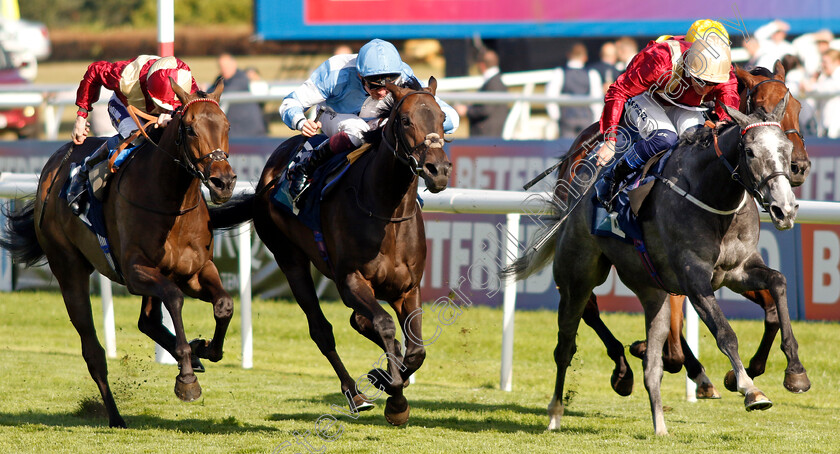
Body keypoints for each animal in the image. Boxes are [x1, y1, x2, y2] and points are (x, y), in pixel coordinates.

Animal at [0, 80, 236, 428]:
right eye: (191, 129)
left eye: (227, 125)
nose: (224, 182)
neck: (172, 203)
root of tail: (54, 163)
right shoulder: (136, 271)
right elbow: (174, 298)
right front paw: (187, 379)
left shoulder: (196, 270)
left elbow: (224, 305)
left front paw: (205, 348)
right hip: (68, 270)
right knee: (94, 351)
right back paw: (115, 415)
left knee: (148, 320)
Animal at [210, 77, 452, 426]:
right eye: (406, 120)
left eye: (443, 118)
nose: (438, 170)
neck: (385, 210)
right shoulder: (351, 280)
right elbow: (384, 325)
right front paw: (393, 397)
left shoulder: (408, 287)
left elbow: (416, 350)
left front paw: (391, 382)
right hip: (290, 261)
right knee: (322, 330)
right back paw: (355, 393)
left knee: (358, 322)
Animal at [502, 96, 796, 436]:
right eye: (749, 151)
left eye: (787, 149)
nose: (785, 209)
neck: (712, 197)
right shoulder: (694, 279)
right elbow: (725, 333)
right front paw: (750, 389)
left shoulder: (738, 271)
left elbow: (778, 282)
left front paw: (795, 372)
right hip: (578, 278)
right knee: (566, 344)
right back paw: (556, 412)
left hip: (650, 290)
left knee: (651, 365)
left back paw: (658, 421)